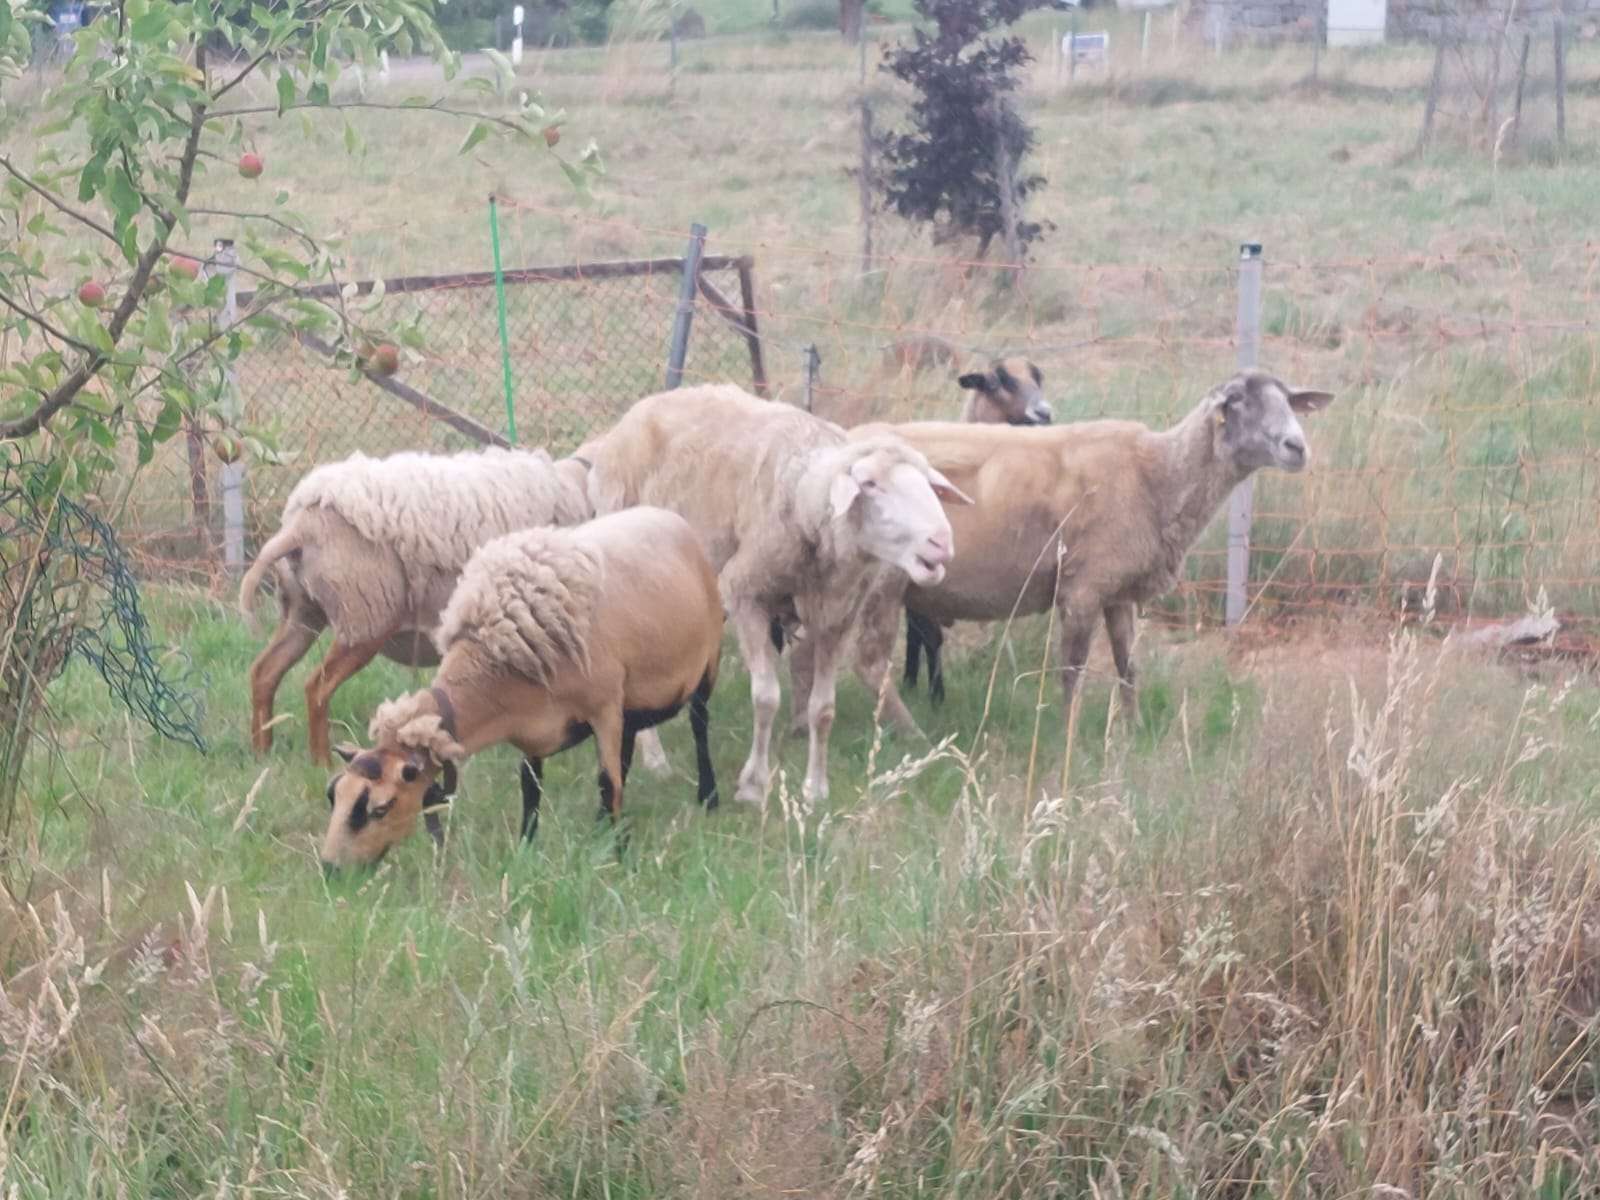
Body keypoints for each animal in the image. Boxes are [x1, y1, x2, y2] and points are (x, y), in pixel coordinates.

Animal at [238, 445, 594, 766]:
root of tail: (300, 526)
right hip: (365, 615)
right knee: (317, 687)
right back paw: (322, 762)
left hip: (303, 612)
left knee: (265, 672)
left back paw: (261, 753)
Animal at [318, 506, 724, 870]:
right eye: (333, 794)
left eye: (380, 808)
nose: (330, 870)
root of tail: (667, 514)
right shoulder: (534, 725)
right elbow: (531, 788)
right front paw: (527, 849)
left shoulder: (604, 706)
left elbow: (608, 785)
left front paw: (617, 858)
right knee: (626, 750)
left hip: (707, 662)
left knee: (700, 724)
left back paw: (709, 796)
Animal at [578, 383, 973, 806]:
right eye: (870, 485)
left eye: (929, 484)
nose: (941, 543)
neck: (804, 497)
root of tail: (637, 411)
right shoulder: (744, 593)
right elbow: (766, 698)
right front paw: (753, 785)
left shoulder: (835, 615)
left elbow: (823, 707)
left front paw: (816, 789)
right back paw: (656, 761)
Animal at [802, 369, 1334, 734]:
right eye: (1239, 402)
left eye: (1288, 401)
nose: (1297, 446)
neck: (1158, 476)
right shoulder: (1083, 585)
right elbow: (1072, 669)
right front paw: (1068, 732)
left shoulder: (1118, 591)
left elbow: (1127, 665)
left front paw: (1133, 729)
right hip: (884, 576)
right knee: (869, 660)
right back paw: (910, 732)